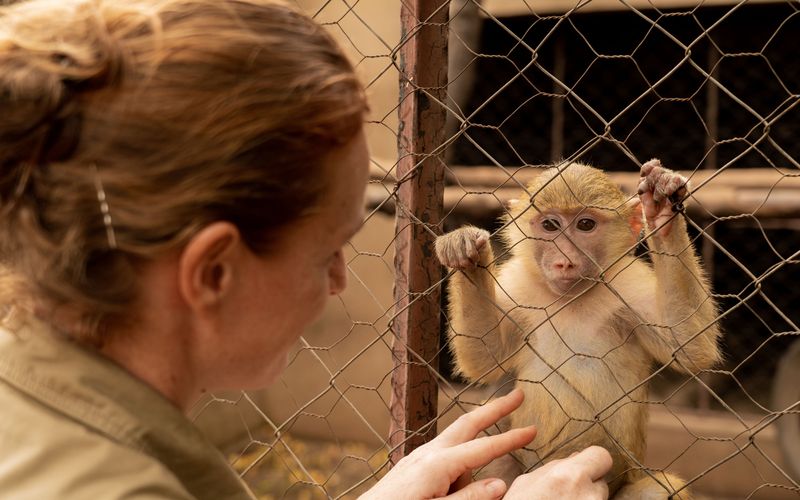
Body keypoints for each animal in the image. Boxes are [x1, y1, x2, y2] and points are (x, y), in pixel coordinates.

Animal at [434, 161, 720, 500]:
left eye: (585, 225)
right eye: (550, 225)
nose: (564, 262)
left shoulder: (627, 282)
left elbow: (688, 346)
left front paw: (663, 215)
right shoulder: (519, 283)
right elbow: (484, 360)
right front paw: (467, 255)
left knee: (655, 490)